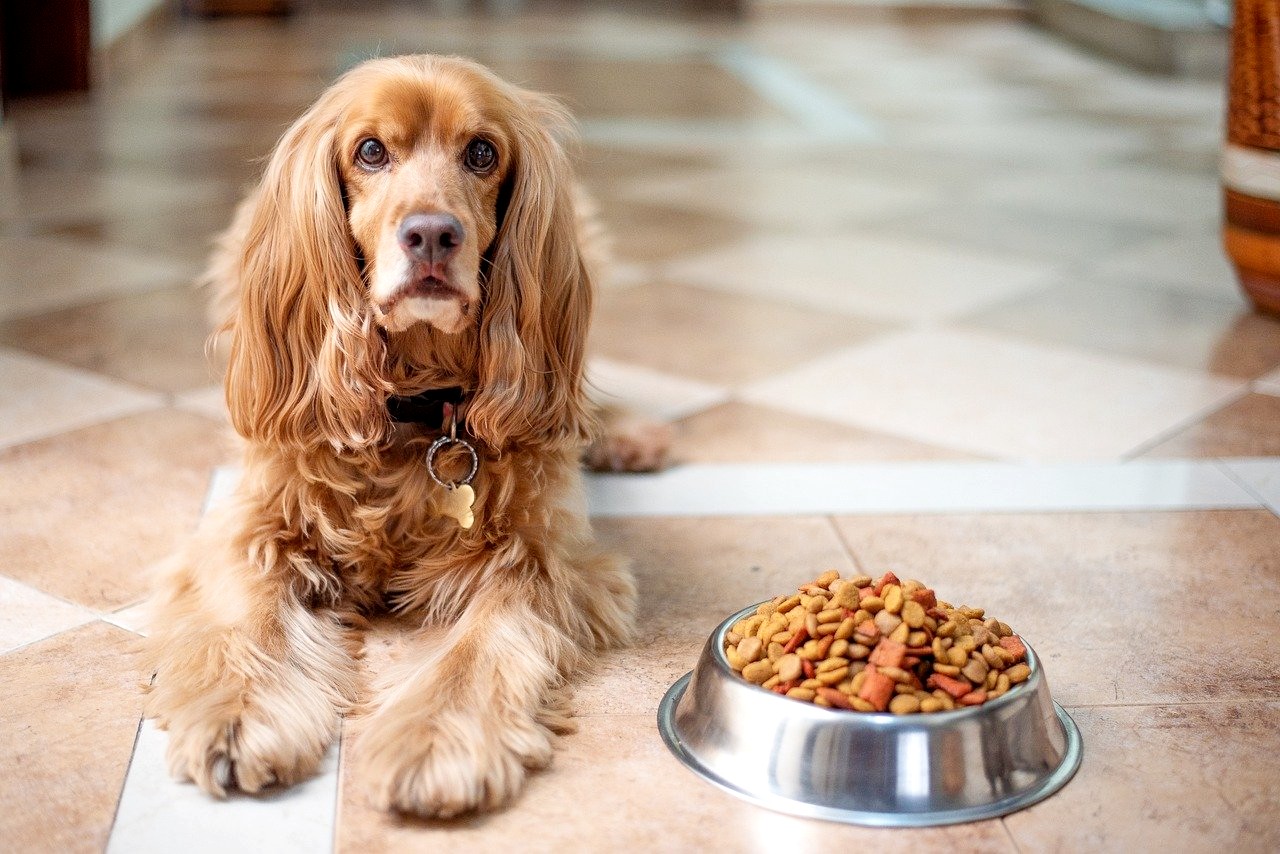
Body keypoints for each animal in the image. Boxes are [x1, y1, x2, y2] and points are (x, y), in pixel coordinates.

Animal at [142, 56, 660, 819]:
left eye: (482, 153)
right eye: (370, 151)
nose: (432, 236)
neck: (416, 407)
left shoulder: (542, 559)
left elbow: (480, 648)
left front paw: (436, 742)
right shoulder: (253, 527)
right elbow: (250, 617)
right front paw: (239, 715)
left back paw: (628, 433)